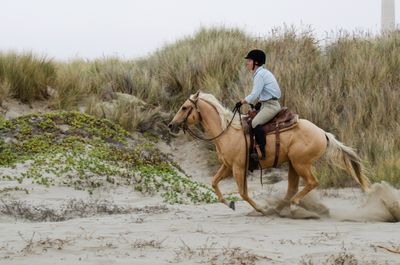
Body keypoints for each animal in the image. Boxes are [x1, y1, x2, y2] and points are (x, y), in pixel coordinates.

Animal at [166, 91, 368, 214]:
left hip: (301, 163)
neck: (228, 131)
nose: (171, 125)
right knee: (293, 188)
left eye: (184, 107)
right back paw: (281, 207)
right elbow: (214, 183)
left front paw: (261, 209)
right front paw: (229, 203)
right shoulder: (227, 166)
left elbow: (243, 193)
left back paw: (291, 206)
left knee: (312, 182)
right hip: (294, 164)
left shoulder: (238, 168)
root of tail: (323, 133)